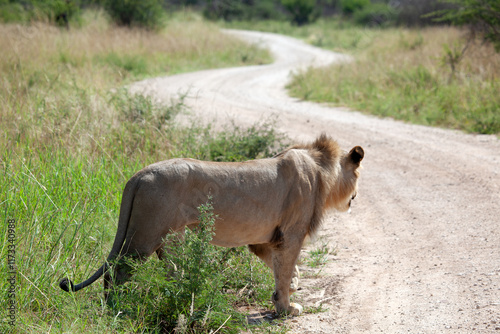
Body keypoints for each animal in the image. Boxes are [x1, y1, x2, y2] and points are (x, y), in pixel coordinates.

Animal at [59, 133, 364, 316]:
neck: (321, 168)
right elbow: (285, 271)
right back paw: (117, 308)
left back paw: (182, 300)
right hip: (144, 237)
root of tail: (139, 175)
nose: (356, 196)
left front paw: (290, 291)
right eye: (359, 175)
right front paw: (286, 309)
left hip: (170, 238)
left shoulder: (263, 239)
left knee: (170, 272)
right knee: (117, 271)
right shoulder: (290, 235)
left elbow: (284, 271)